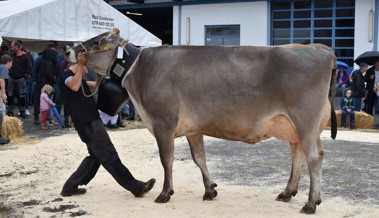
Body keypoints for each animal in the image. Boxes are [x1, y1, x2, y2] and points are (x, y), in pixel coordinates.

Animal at [69, 28, 338, 214]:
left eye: (97, 42)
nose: (69, 49)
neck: (140, 70)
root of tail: (319, 48)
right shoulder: (192, 129)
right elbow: (200, 158)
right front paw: (210, 190)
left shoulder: (163, 123)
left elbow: (166, 160)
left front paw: (165, 193)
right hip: (294, 126)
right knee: (298, 156)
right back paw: (287, 192)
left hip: (305, 121)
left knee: (314, 157)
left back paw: (311, 203)